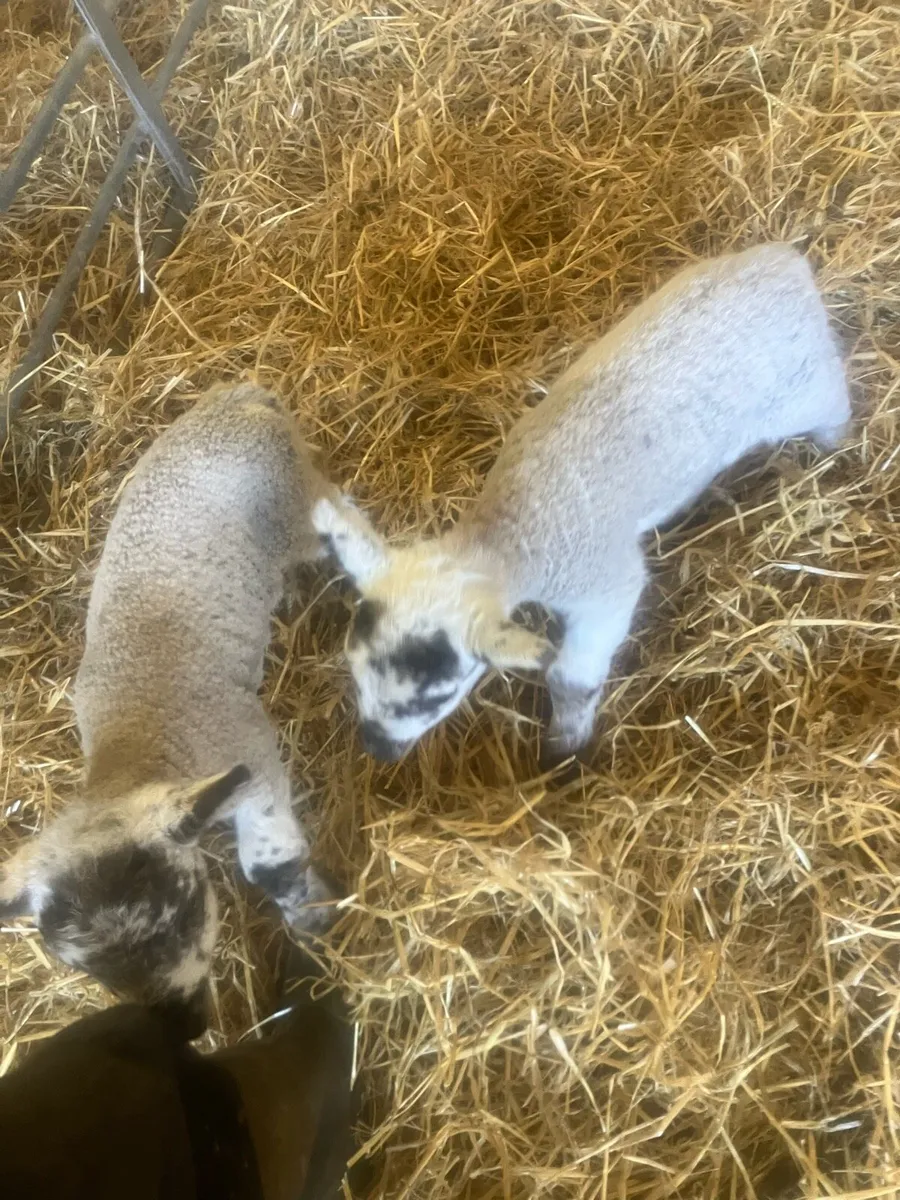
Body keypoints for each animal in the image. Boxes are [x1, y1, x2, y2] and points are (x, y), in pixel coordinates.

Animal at [0, 383, 339, 1024]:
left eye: (180, 918)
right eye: (86, 969)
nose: (184, 1021)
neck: (136, 742)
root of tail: (241, 396)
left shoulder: (252, 756)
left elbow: (270, 861)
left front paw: (311, 915)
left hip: (292, 500)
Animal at [313, 243, 851, 767]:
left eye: (436, 698)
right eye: (353, 669)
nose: (378, 750)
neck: (508, 531)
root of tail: (790, 265)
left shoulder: (605, 583)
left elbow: (571, 674)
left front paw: (565, 745)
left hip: (810, 388)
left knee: (837, 410)